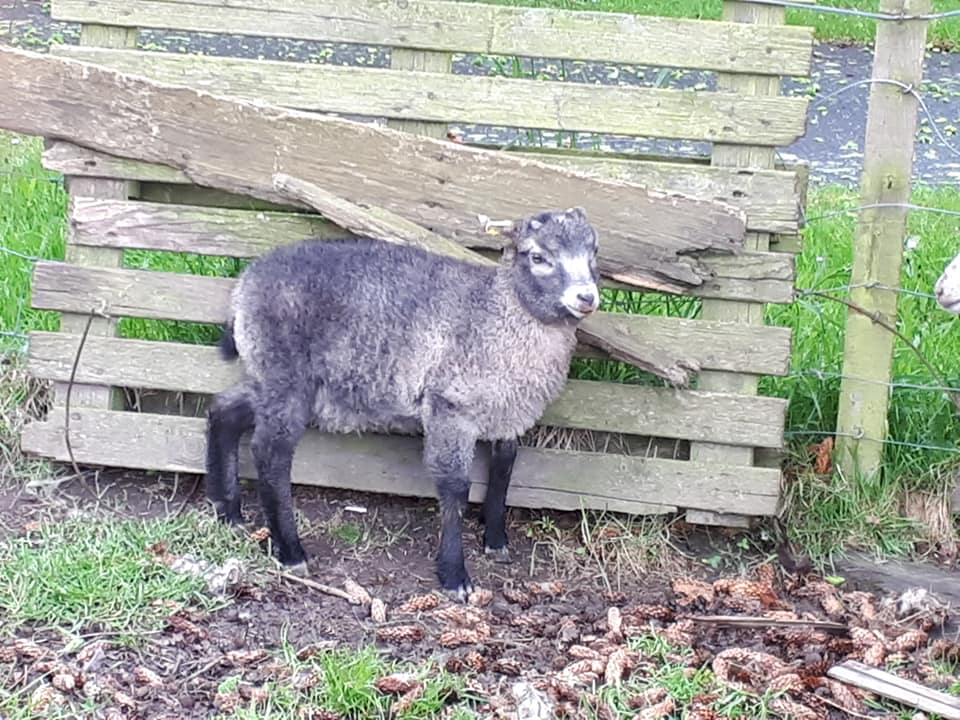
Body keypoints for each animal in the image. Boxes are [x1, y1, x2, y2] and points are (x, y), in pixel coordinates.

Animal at [204, 204, 600, 596]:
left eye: (593, 253)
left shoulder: (508, 411)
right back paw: (289, 551)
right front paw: (454, 575)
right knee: (271, 453)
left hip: (271, 379)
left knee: (223, 411)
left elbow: (504, 470)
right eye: (538, 256)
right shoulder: (449, 407)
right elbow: (456, 488)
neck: (497, 312)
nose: (587, 298)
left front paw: (496, 541)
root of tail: (245, 285)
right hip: (284, 376)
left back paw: (227, 511)